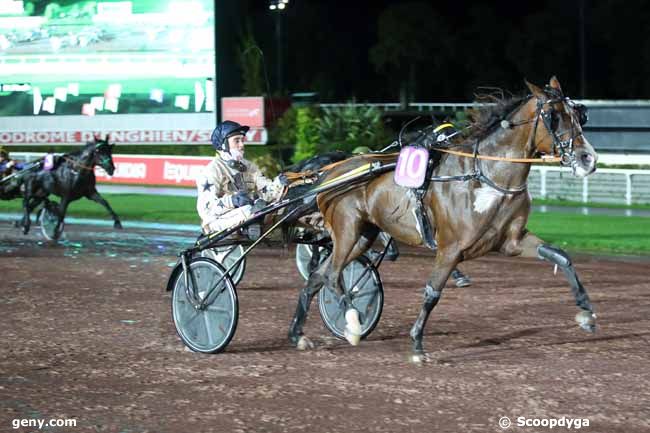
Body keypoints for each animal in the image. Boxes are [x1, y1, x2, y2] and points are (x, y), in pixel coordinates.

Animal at [288, 77, 596, 362]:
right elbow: (432, 292)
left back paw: (297, 334)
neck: (485, 177)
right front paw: (417, 345)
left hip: (364, 235)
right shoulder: (451, 248)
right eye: (554, 116)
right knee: (332, 275)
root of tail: (331, 172)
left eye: (579, 114)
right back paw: (352, 324)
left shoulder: (512, 242)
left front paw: (586, 312)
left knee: (318, 276)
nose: (588, 158)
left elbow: (561, 256)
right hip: (348, 230)